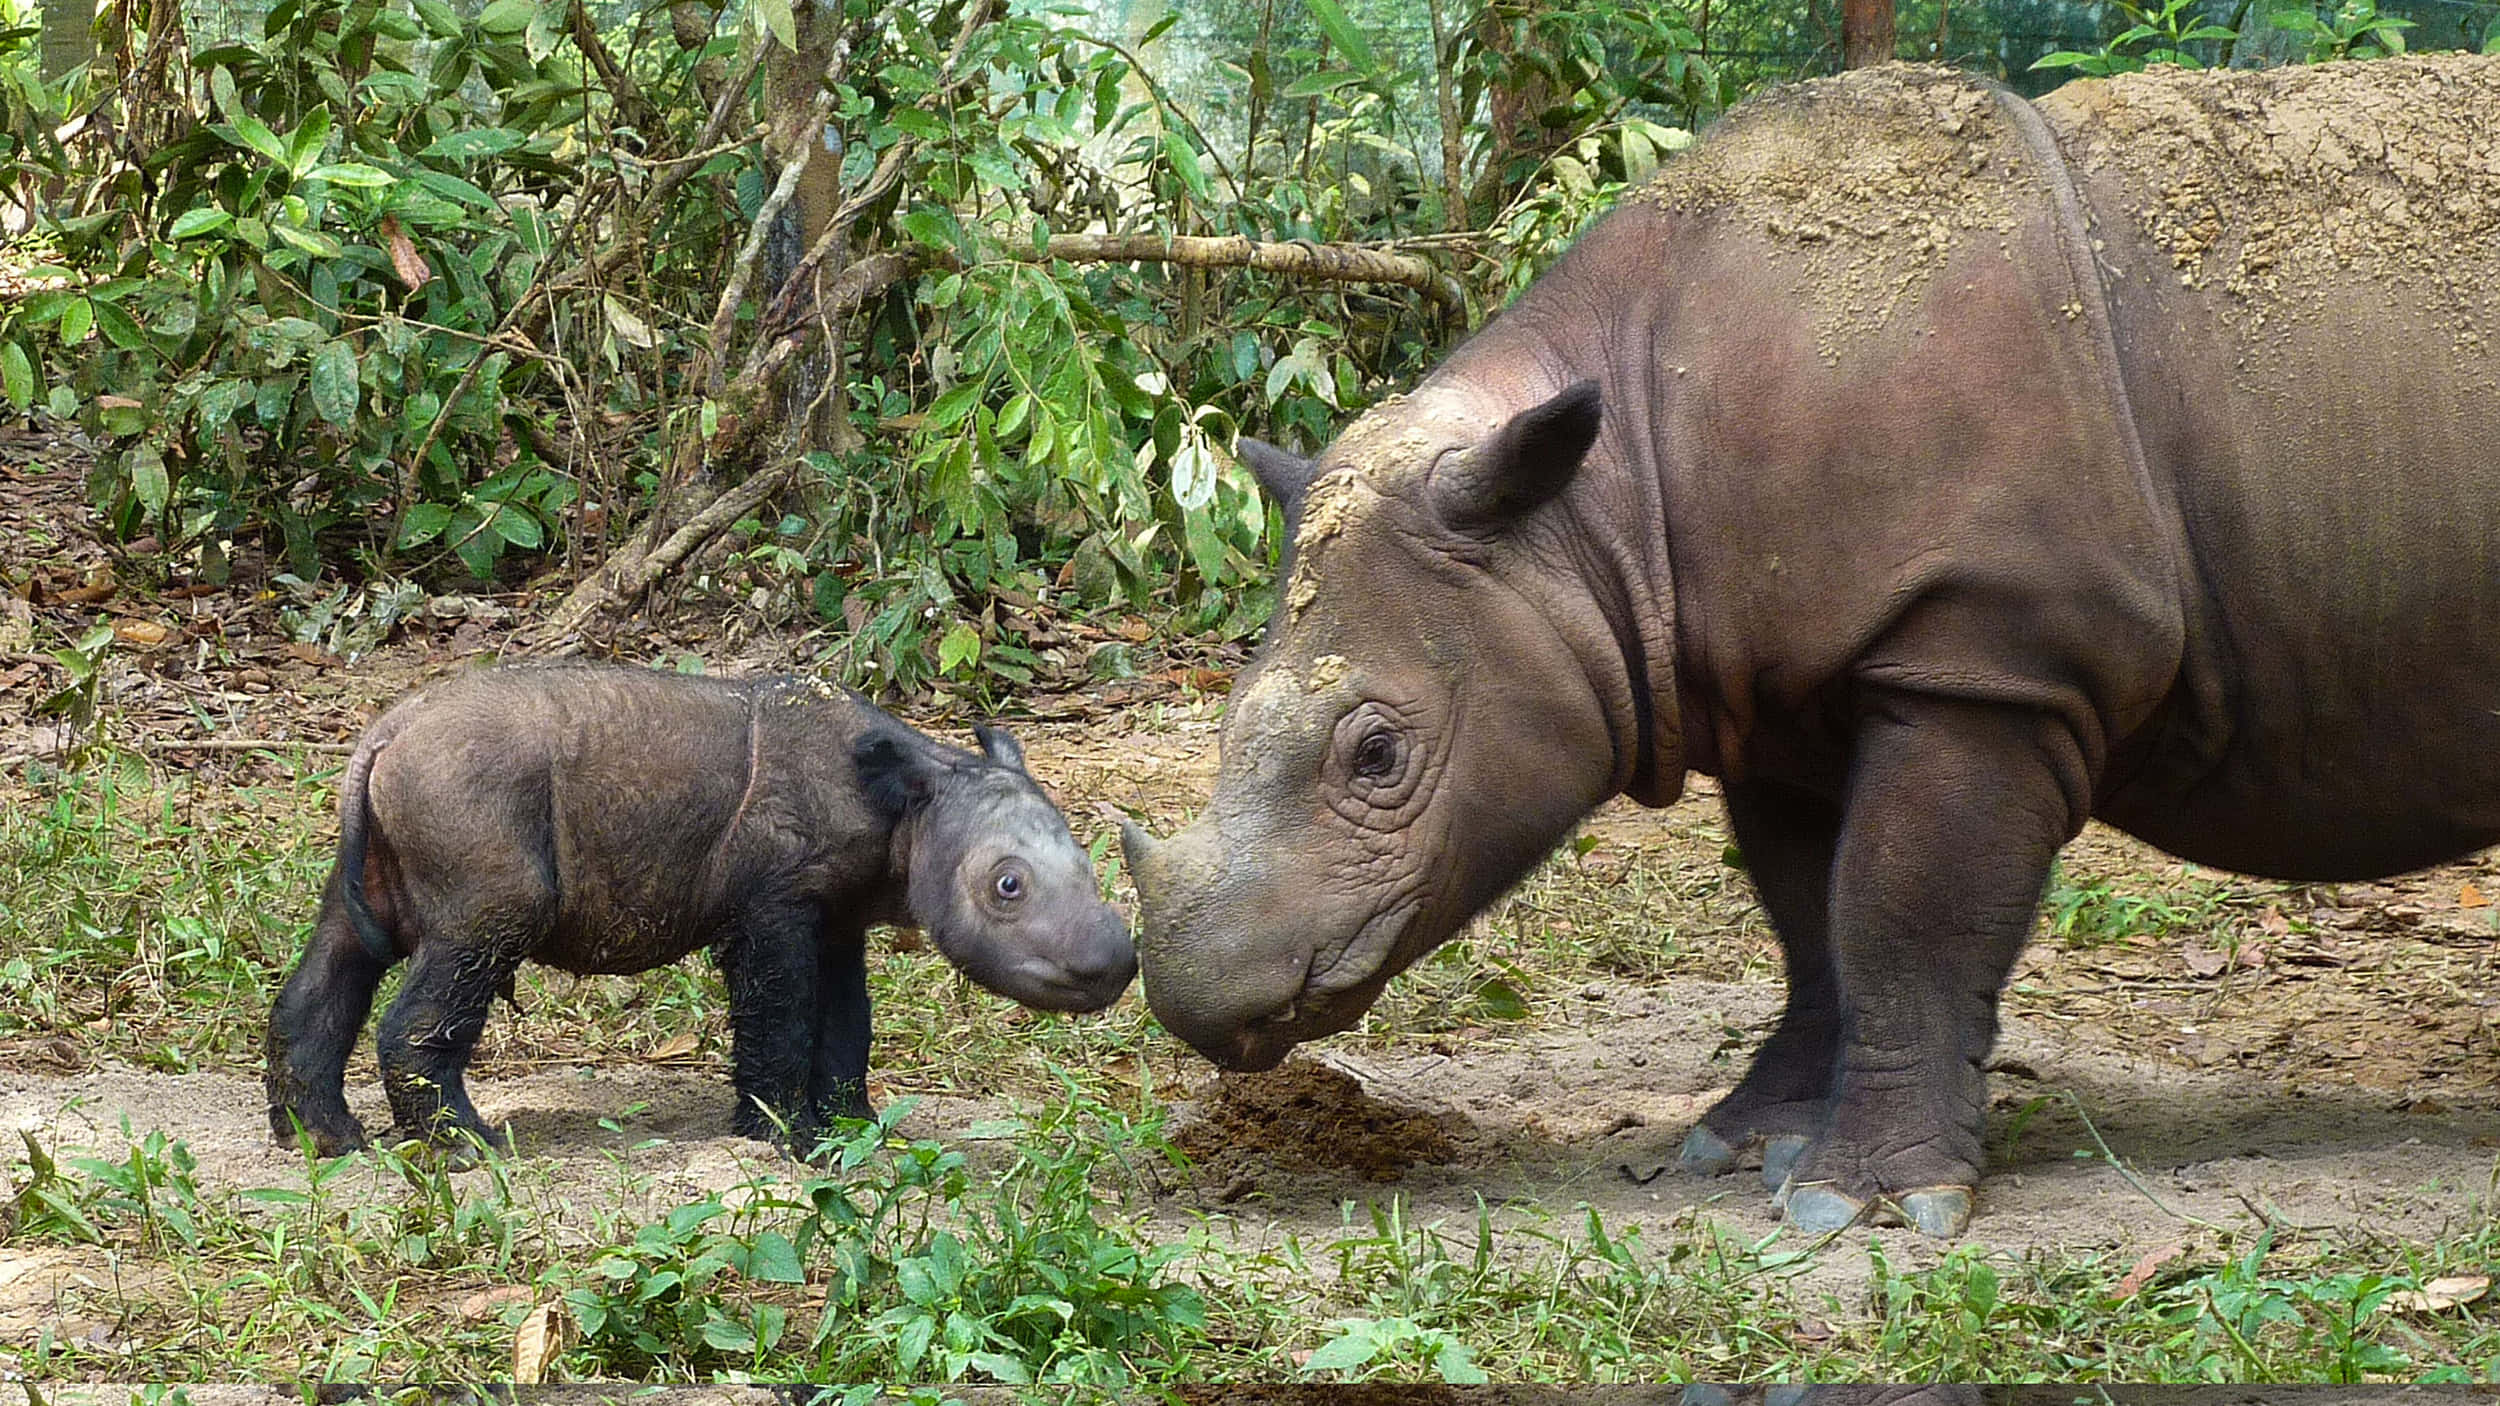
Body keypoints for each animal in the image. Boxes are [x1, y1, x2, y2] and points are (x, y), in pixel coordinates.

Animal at [267, 663, 1135, 1157]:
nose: (1116, 965)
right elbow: (781, 1017)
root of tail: (382, 735)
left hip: (394, 817)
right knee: (474, 940)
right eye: (1007, 887)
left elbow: (846, 1023)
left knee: (342, 952)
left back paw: (325, 1142)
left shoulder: (836, 916)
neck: (911, 803)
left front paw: (857, 1130)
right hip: (467, 799)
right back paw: (468, 1149)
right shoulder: (773, 906)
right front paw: (789, 1143)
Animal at [1122, 57, 2500, 1235]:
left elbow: (1900, 907)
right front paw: (1746, 1140)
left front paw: (1866, 1205)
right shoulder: (1771, 682)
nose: (1195, 999)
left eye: (1376, 754)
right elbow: (1809, 914)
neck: (1594, 513)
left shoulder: (1985, 654)